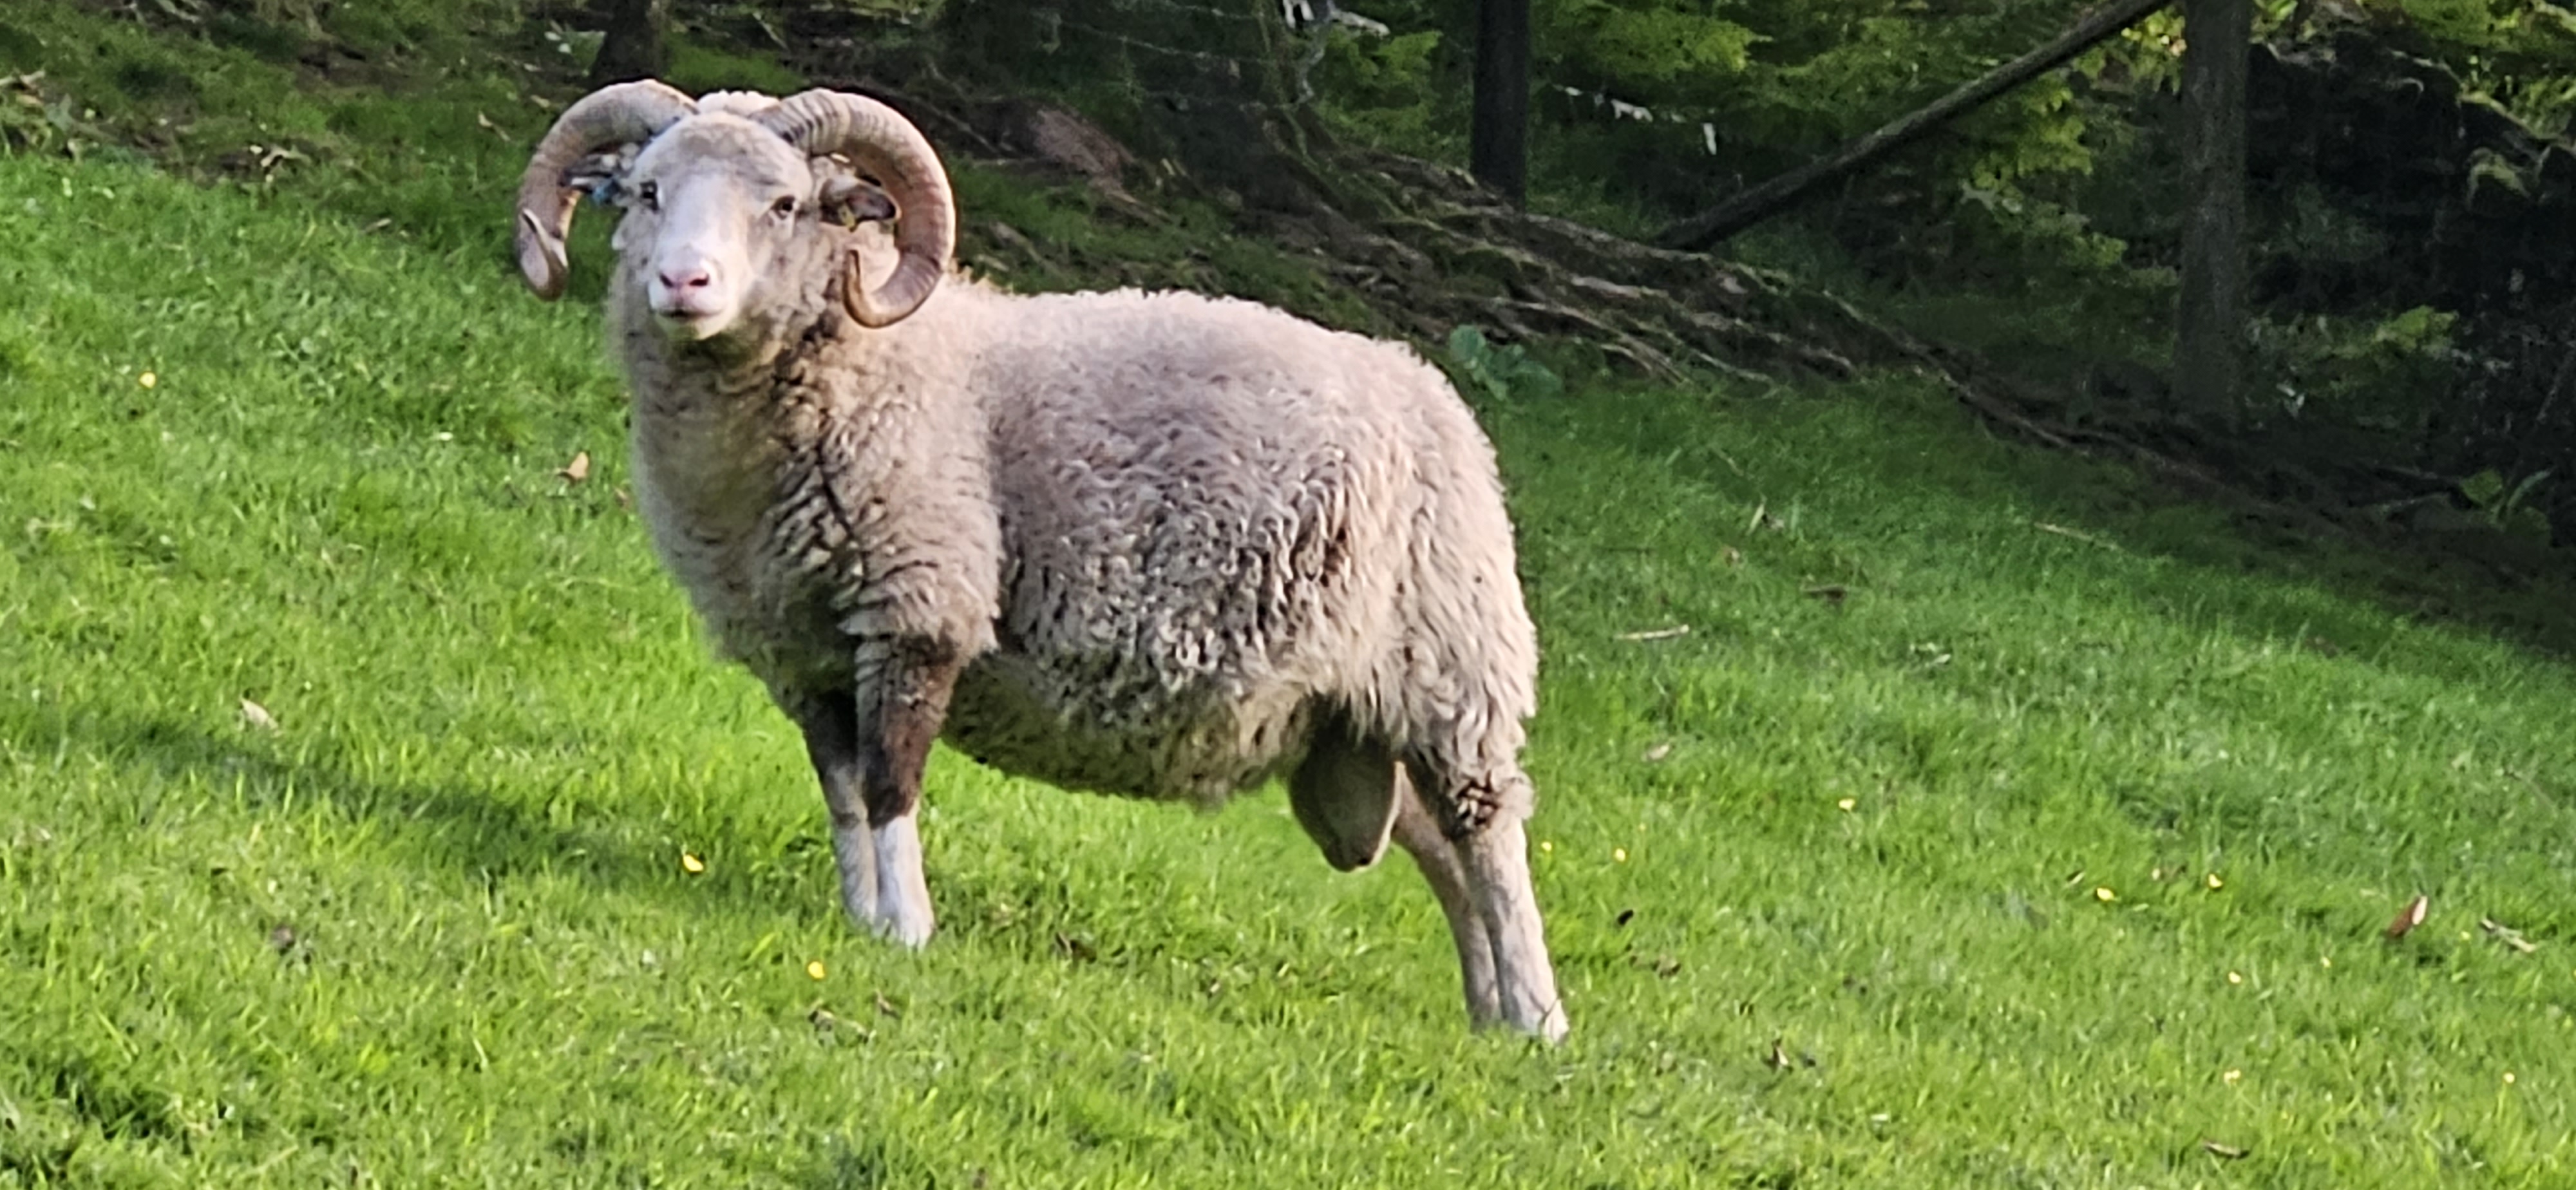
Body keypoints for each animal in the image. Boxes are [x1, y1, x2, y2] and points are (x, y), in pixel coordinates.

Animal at [512, 81, 1567, 1041]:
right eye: (647, 192)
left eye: (785, 205)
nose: (683, 285)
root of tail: (1436, 393)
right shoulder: (804, 654)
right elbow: (844, 795)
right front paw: (856, 917)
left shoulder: (920, 608)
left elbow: (892, 784)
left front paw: (905, 930)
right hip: (1360, 712)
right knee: (1443, 852)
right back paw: (1489, 1015)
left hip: (1452, 672)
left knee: (1489, 838)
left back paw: (1539, 1019)